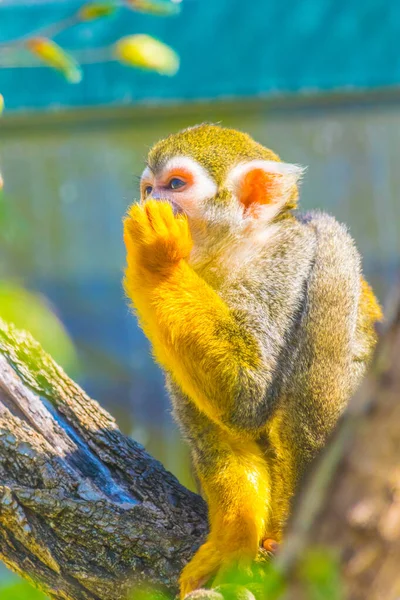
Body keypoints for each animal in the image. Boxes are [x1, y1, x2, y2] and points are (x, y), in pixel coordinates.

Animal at [123, 124, 382, 596]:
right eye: (148, 188)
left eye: (175, 185)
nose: (152, 201)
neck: (233, 256)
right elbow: (223, 428)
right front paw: (233, 541)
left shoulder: (287, 261)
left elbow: (248, 395)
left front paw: (157, 259)